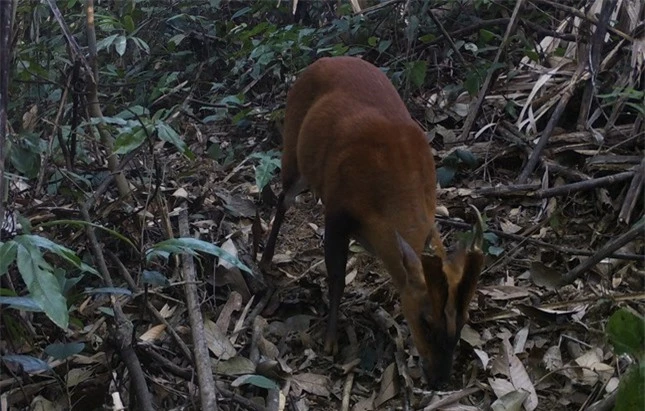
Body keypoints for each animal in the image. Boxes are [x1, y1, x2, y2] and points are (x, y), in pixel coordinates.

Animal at [262, 57, 484, 390]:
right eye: (425, 320)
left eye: (463, 321)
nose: (440, 380)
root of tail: (321, 61)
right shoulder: (337, 212)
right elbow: (337, 278)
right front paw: (330, 342)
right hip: (293, 149)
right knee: (281, 199)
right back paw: (264, 261)